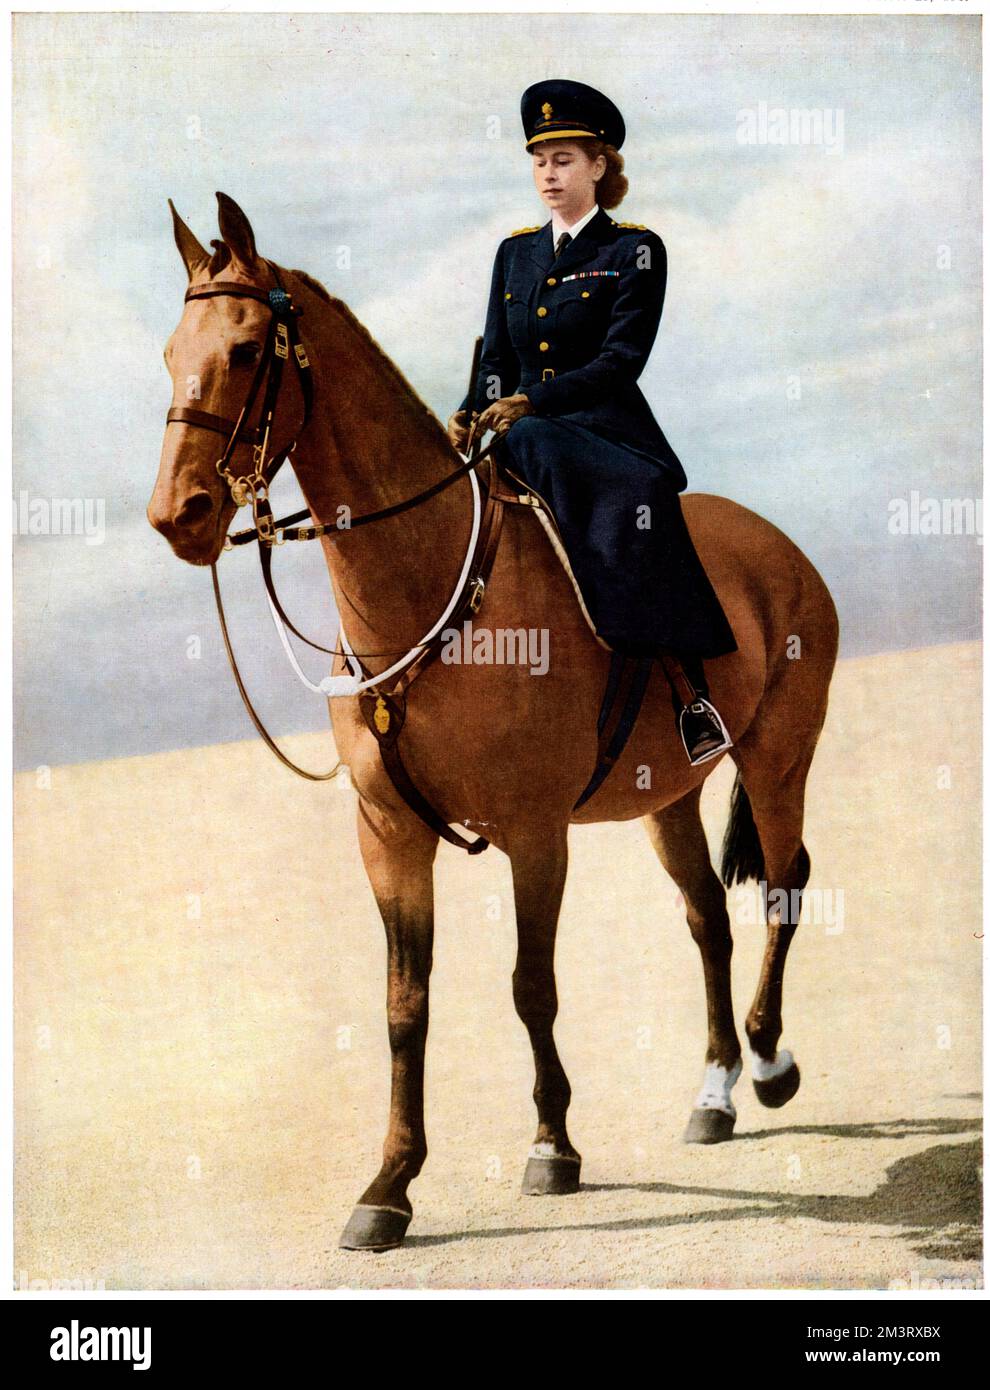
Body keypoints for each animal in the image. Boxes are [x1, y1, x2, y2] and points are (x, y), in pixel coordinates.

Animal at [150, 193, 839, 1251]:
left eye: (246, 349)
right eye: (170, 352)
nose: (176, 515)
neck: (432, 587)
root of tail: (781, 547)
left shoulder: (535, 832)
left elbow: (530, 985)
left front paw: (552, 1146)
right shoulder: (388, 835)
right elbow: (405, 1005)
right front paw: (389, 1185)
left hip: (777, 758)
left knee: (783, 885)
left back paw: (767, 1062)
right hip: (667, 798)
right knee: (706, 919)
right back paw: (715, 1089)